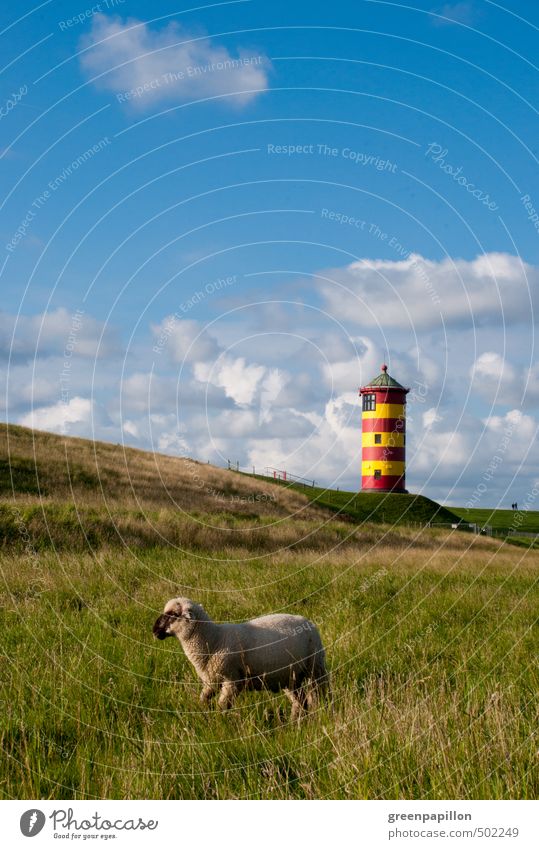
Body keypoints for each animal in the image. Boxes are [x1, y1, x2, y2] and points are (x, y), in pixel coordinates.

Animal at [152, 596, 330, 716]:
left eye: (174, 614)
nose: (154, 630)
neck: (214, 639)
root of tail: (307, 621)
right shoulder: (211, 681)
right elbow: (203, 700)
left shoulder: (232, 681)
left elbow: (222, 706)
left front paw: (221, 725)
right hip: (290, 677)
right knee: (300, 703)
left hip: (315, 667)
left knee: (319, 694)